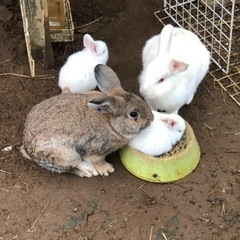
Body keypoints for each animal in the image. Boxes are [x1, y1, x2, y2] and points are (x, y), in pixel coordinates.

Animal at [21, 64, 155, 177]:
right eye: (133, 114)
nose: (151, 119)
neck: (110, 123)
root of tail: (28, 150)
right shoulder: (95, 150)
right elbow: (97, 160)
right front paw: (107, 169)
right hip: (66, 154)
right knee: (71, 166)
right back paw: (88, 171)